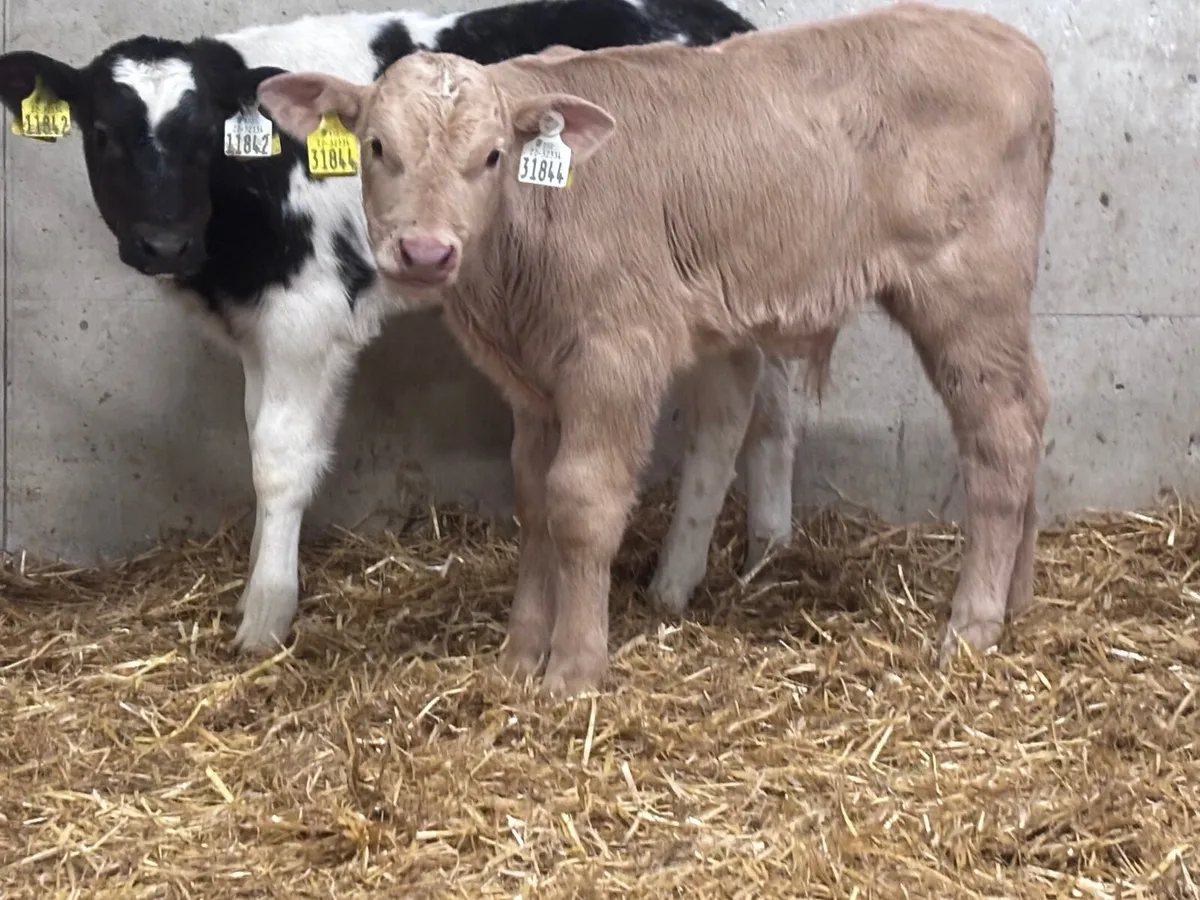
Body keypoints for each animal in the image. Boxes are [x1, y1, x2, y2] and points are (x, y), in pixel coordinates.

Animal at [0, 0, 807, 654]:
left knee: (735, 415)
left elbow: (278, 461)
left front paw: (264, 619)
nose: (163, 243)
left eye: (205, 136)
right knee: (765, 411)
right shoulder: (266, 329)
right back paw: (750, 559)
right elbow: (269, 438)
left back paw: (698, 574)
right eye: (102, 132)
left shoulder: (305, 313)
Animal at [256, 1, 1057, 695]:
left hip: (968, 290)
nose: (425, 252)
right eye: (376, 147)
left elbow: (581, 501)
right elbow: (533, 498)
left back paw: (973, 624)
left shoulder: (616, 354)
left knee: (1001, 437)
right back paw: (1017, 600)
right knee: (1032, 412)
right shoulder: (530, 384)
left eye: (492, 156)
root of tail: (1016, 48)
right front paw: (520, 655)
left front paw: (573, 668)